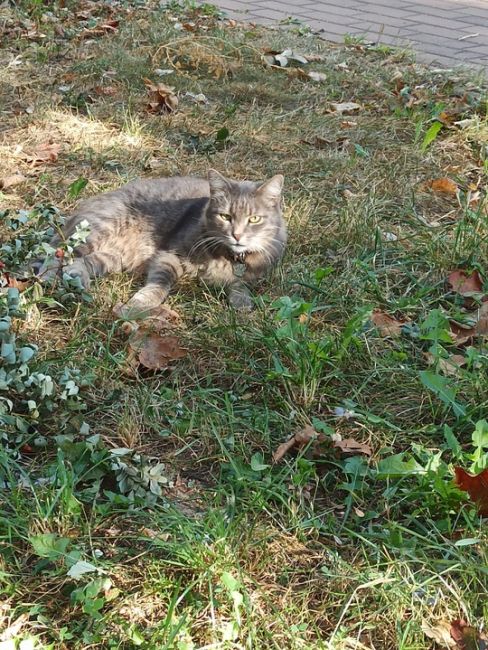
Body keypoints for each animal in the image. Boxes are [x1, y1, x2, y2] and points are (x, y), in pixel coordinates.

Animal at [41, 168, 290, 312]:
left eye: (254, 219)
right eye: (225, 216)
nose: (237, 235)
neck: (229, 257)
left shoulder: (255, 273)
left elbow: (241, 285)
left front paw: (242, 304)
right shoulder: (169, 255)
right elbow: (160, 283)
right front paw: (142, 301)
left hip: (113, 257)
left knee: (80, 263)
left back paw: (77, 280)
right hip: (94, 231)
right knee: (50, 259)